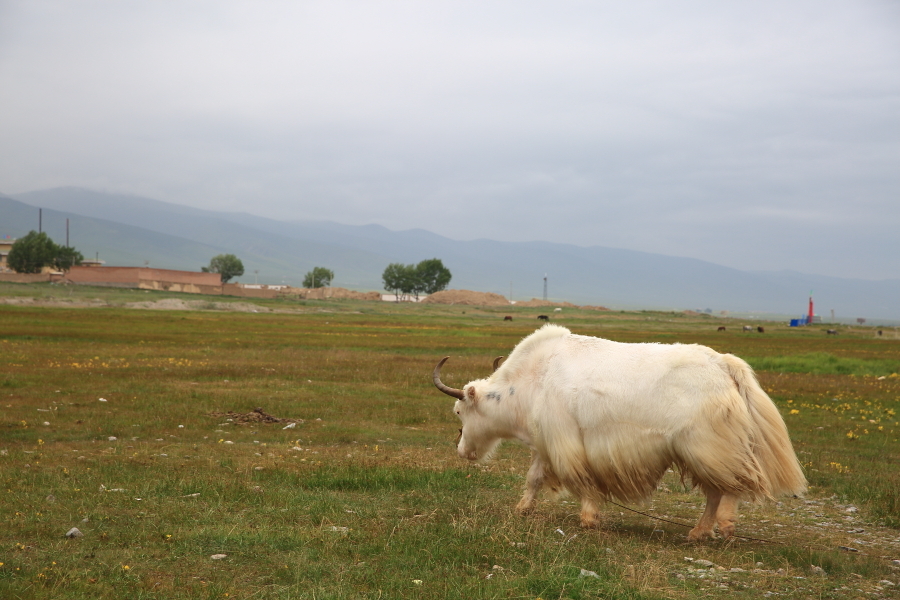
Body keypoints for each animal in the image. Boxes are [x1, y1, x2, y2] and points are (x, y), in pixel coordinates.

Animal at [432, 326, 804, 540]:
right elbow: (534, 478)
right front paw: (522, 509)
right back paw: (700, 532)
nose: (462, 450)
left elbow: (580, 478)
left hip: (704, 446)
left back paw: (719, 526)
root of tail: (724, 364)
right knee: (719, 488)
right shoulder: (545, 442)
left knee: (729, 486)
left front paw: (589, 519)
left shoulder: (564, 439)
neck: (531, 381)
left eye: (458, 411)